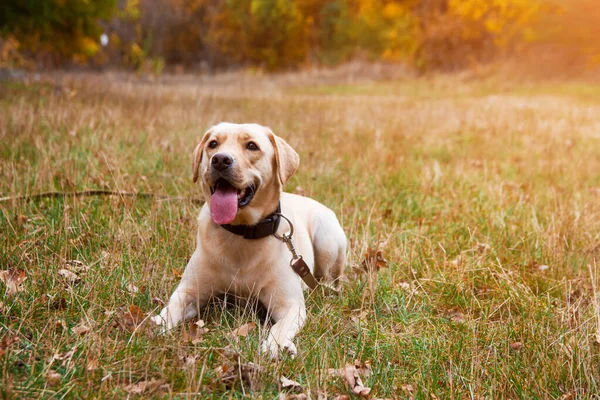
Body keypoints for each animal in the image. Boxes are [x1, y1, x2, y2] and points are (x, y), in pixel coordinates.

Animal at [151, 123, 346, 358]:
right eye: (213, 144)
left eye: (252, 146)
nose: (220, 160)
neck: (242, 233)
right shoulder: (189, 291)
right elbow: (170, 310)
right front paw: (155, 326)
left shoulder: (290, 305)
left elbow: (279, 328)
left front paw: (274, 346)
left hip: (328, 240)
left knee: (330, 278)